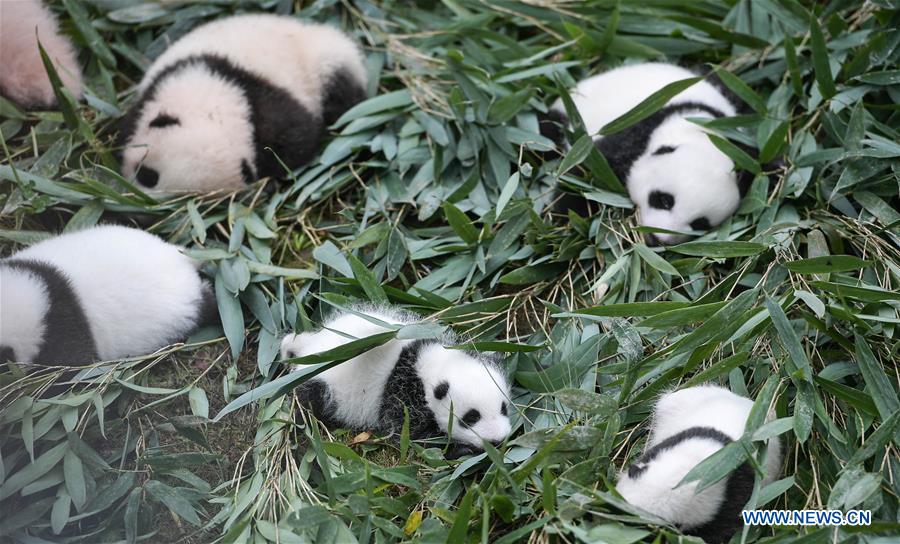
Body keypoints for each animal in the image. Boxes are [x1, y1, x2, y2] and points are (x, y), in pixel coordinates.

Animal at [280, 306, 513, 454]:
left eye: (503, 408)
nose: (497, 440)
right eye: (471, 417)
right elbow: (412, 436)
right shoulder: (404, 396)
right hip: (321, 382)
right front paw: (459, 449)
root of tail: (309, 347)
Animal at [551, 62, 746, 244]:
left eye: (699, 224)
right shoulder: (632, 135)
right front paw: (568, 216)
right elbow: (584, 172)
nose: (657, 238)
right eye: (665, 200)